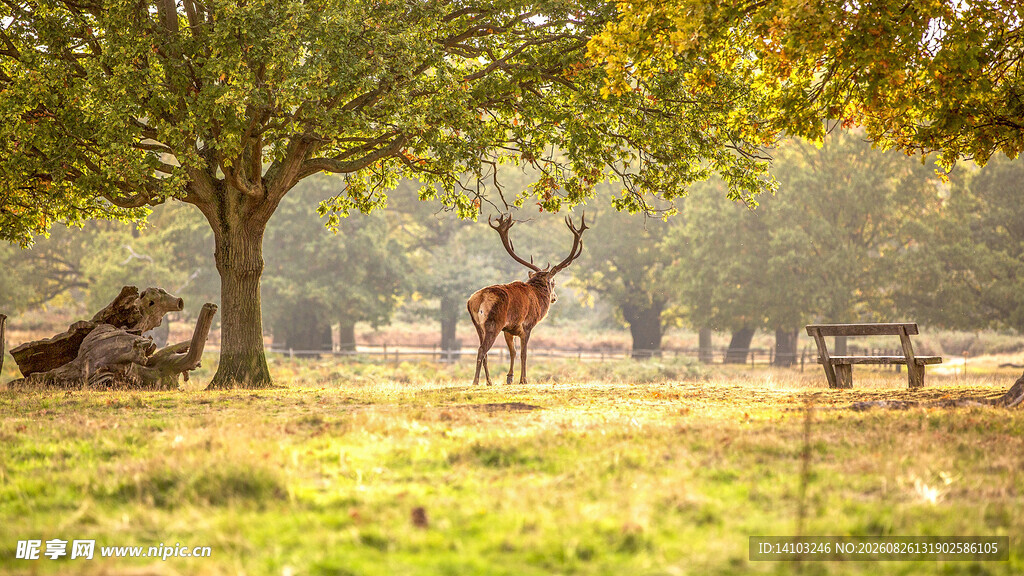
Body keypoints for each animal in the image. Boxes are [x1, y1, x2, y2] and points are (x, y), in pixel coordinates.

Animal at [467, 213, 587, 385]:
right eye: (554, 282)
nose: (555, 298)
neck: (538, 297)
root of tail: (477, 300)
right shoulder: (527, 325)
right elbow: (524, 353)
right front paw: (523, 379)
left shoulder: (508, 328)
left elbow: (513, 352)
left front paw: (509, 378)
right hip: (493, 323)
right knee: (482, 349)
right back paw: (476, 381)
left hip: (478, 325)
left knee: (485, 352)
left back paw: (489, 382)